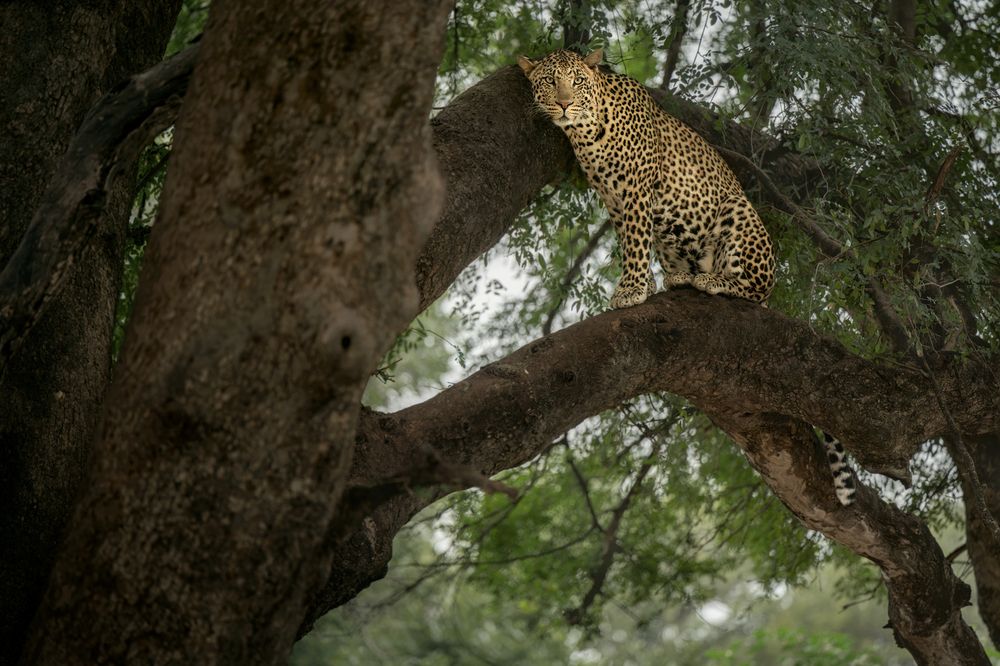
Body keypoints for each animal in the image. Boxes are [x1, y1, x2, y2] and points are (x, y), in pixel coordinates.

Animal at [519, 49, 856, 507]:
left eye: (576, 80)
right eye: (549, 82)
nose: (565, 104)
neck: (587, 132)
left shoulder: (637, 192)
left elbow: (635, 245)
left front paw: (630, 291)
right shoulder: (614, 201)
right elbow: (631, 242)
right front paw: (643, 286)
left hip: (738, 214)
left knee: (750, 289)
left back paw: (713, 282)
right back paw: (680, 278)